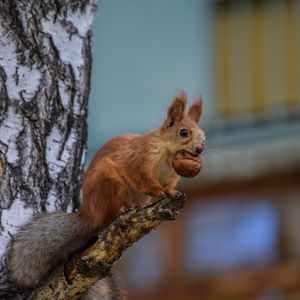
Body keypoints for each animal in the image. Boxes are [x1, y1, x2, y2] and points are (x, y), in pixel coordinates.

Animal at [7, 91, 205, 298]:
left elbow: (168, 185)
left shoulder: (171, 175)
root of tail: (90, 215)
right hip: (109, 184)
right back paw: (124, 209)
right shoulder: (140, 159)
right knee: (109, 215)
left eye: (203, 136)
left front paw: (171, 192)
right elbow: (142, 178)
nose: (200, 148)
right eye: (183, 132)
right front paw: (161, 191)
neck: (168, 153)